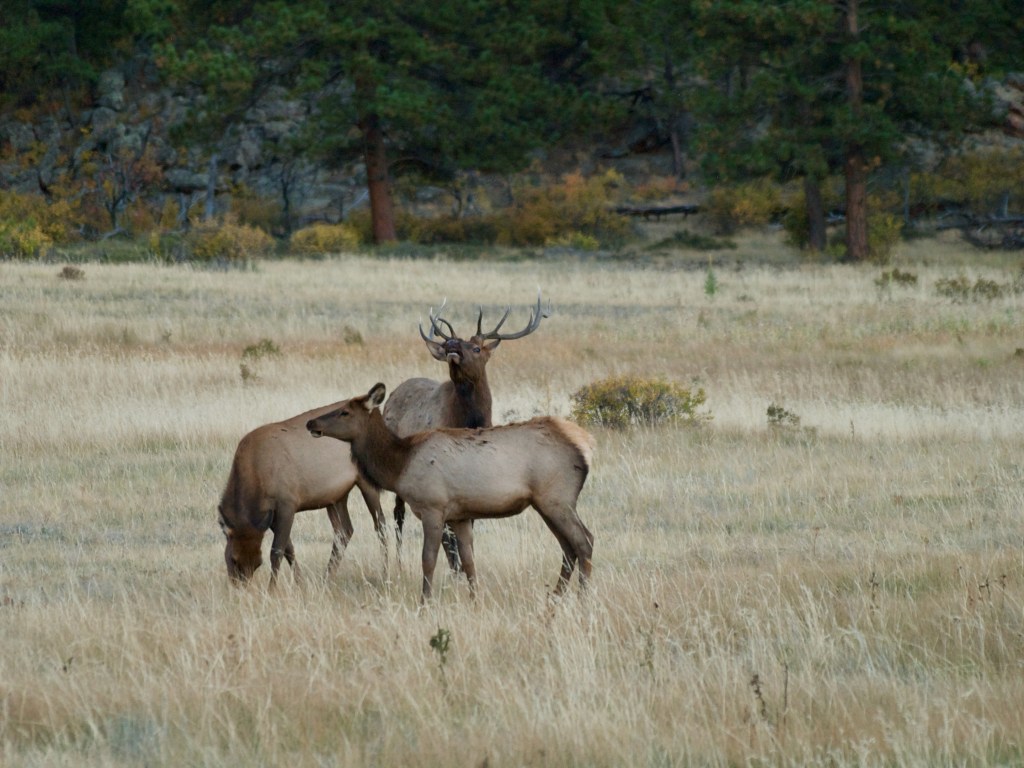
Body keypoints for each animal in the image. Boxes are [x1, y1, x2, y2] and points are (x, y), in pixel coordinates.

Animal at [217, 400, 387, 588]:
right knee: (344, 531)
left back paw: (387, 571)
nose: (241, 588)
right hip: (336, 496)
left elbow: (277, 550)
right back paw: (326, 578)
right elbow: (289, 548)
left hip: (365, 481)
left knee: (380, 525)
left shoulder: (287, 503)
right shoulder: (271, 513)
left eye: (258, 563)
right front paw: (300, 582)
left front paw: (272, 588)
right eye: (233, 559)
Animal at [306, 383, 595, 601]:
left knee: (585, 541)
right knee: (568, 548)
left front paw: (425, 603)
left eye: (344, 412)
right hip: (545, 503)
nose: (311, 422)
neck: (399, 467)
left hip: (557, 498)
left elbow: (429, 559)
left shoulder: (433, 508)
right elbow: (468, 562)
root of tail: (585, 446)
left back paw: (583, 599)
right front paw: (475, 600)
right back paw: (555, 597)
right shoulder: (460, 516)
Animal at [382, 292, 546, 569]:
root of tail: (392, 394)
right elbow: (448, 534)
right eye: (455, 342)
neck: (467, 421)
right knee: (398, 514)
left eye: (477, 348)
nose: (451, 344)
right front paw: (455, 568)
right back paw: (397, 561)